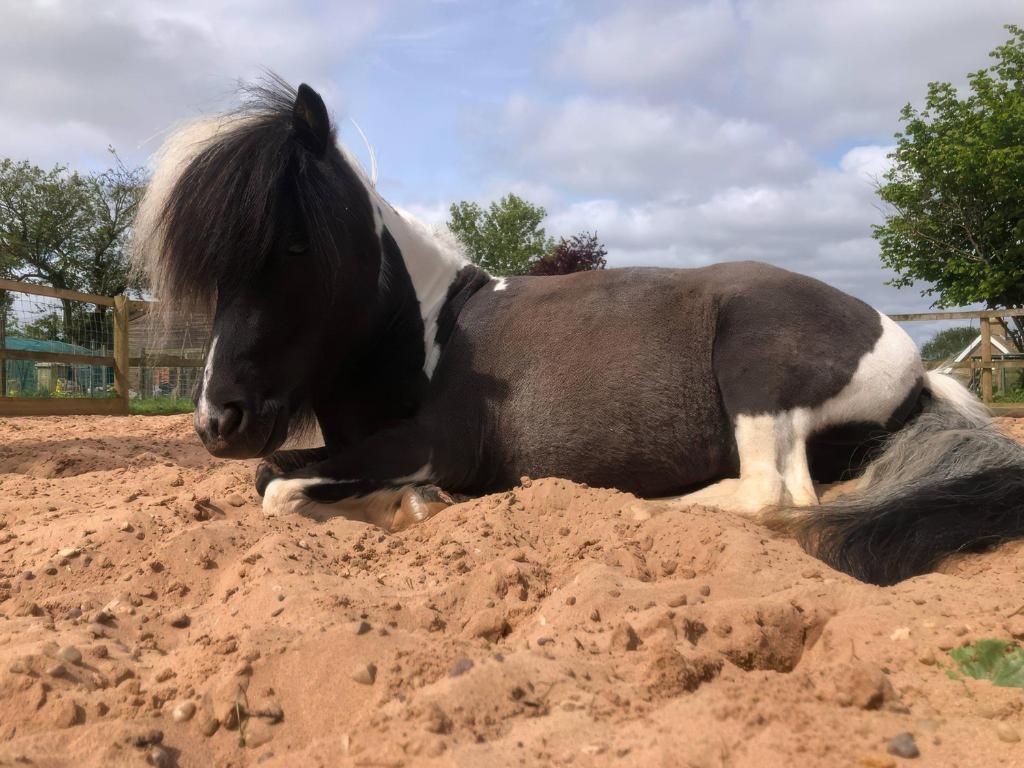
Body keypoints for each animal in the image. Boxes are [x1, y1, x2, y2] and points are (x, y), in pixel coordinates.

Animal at [134, 78, 1024, 586]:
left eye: (294, 245)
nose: (216, 422)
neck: (425, 331)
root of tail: (909, 362)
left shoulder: (433, 444)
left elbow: (277, 490)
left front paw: (413, 504)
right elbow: (273, 478)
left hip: (757, 365)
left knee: (773, 492)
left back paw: (650, 509)